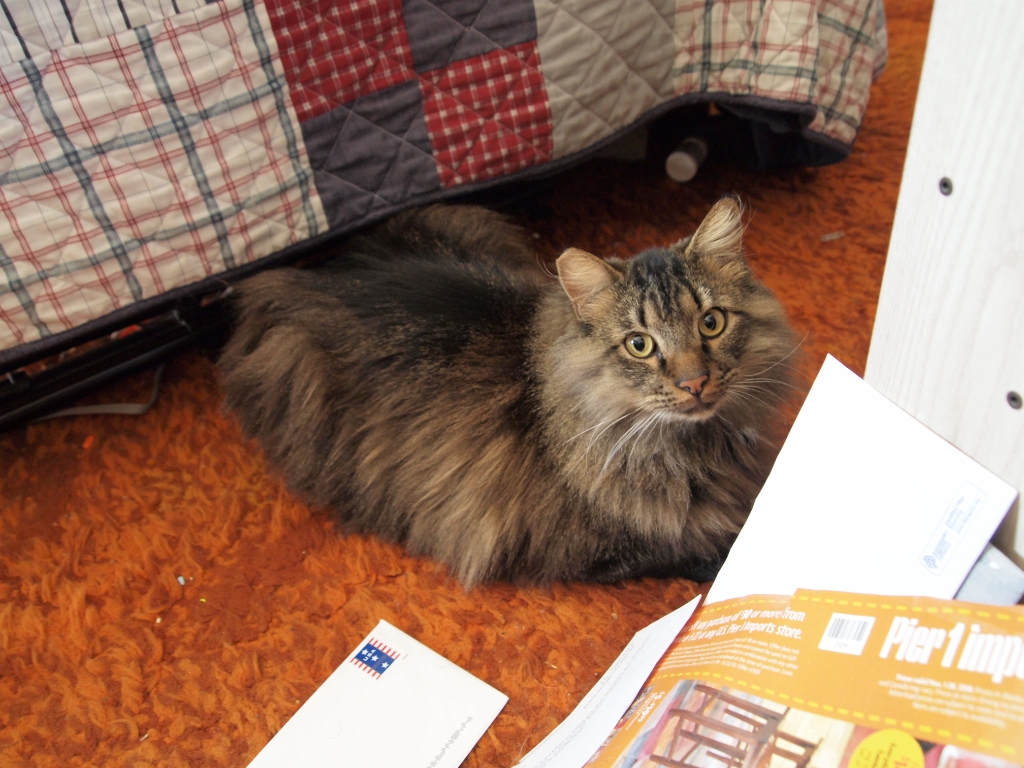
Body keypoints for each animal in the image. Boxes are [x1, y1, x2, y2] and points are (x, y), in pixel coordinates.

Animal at [218, 198, 798, 586]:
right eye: (640, 344)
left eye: (711, 323)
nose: (694, 382)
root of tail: (301, 277)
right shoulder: (605, 552)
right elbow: (712, 548)